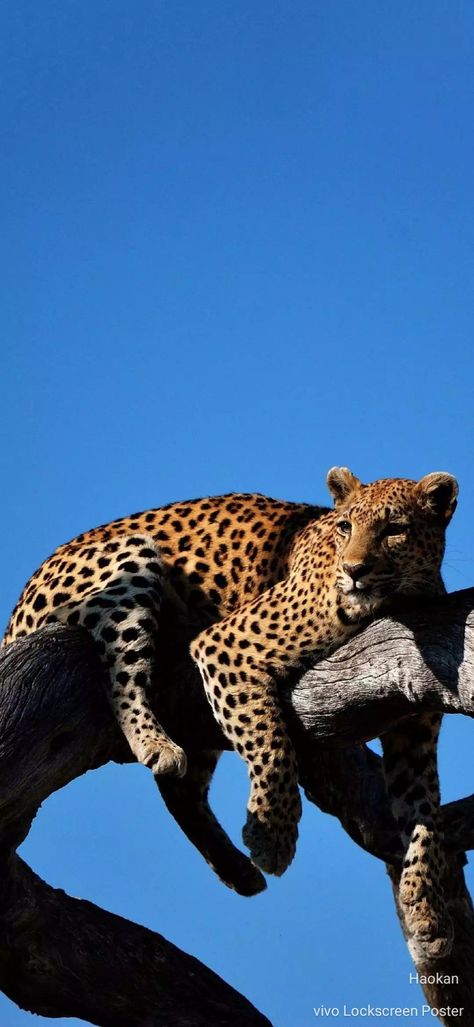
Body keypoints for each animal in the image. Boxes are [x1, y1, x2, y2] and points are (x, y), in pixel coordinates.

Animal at [3, 467, 458, 954]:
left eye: (395, 530)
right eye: (344, 527)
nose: (354, 571)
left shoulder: (414, 730)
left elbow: (425, 812)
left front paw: (428, 910)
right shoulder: (226, 646)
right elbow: (270, 740)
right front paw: (272, 836)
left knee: (181, 790)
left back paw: (236, 870)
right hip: (131, 560)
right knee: (121, 672)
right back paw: (156, 744)